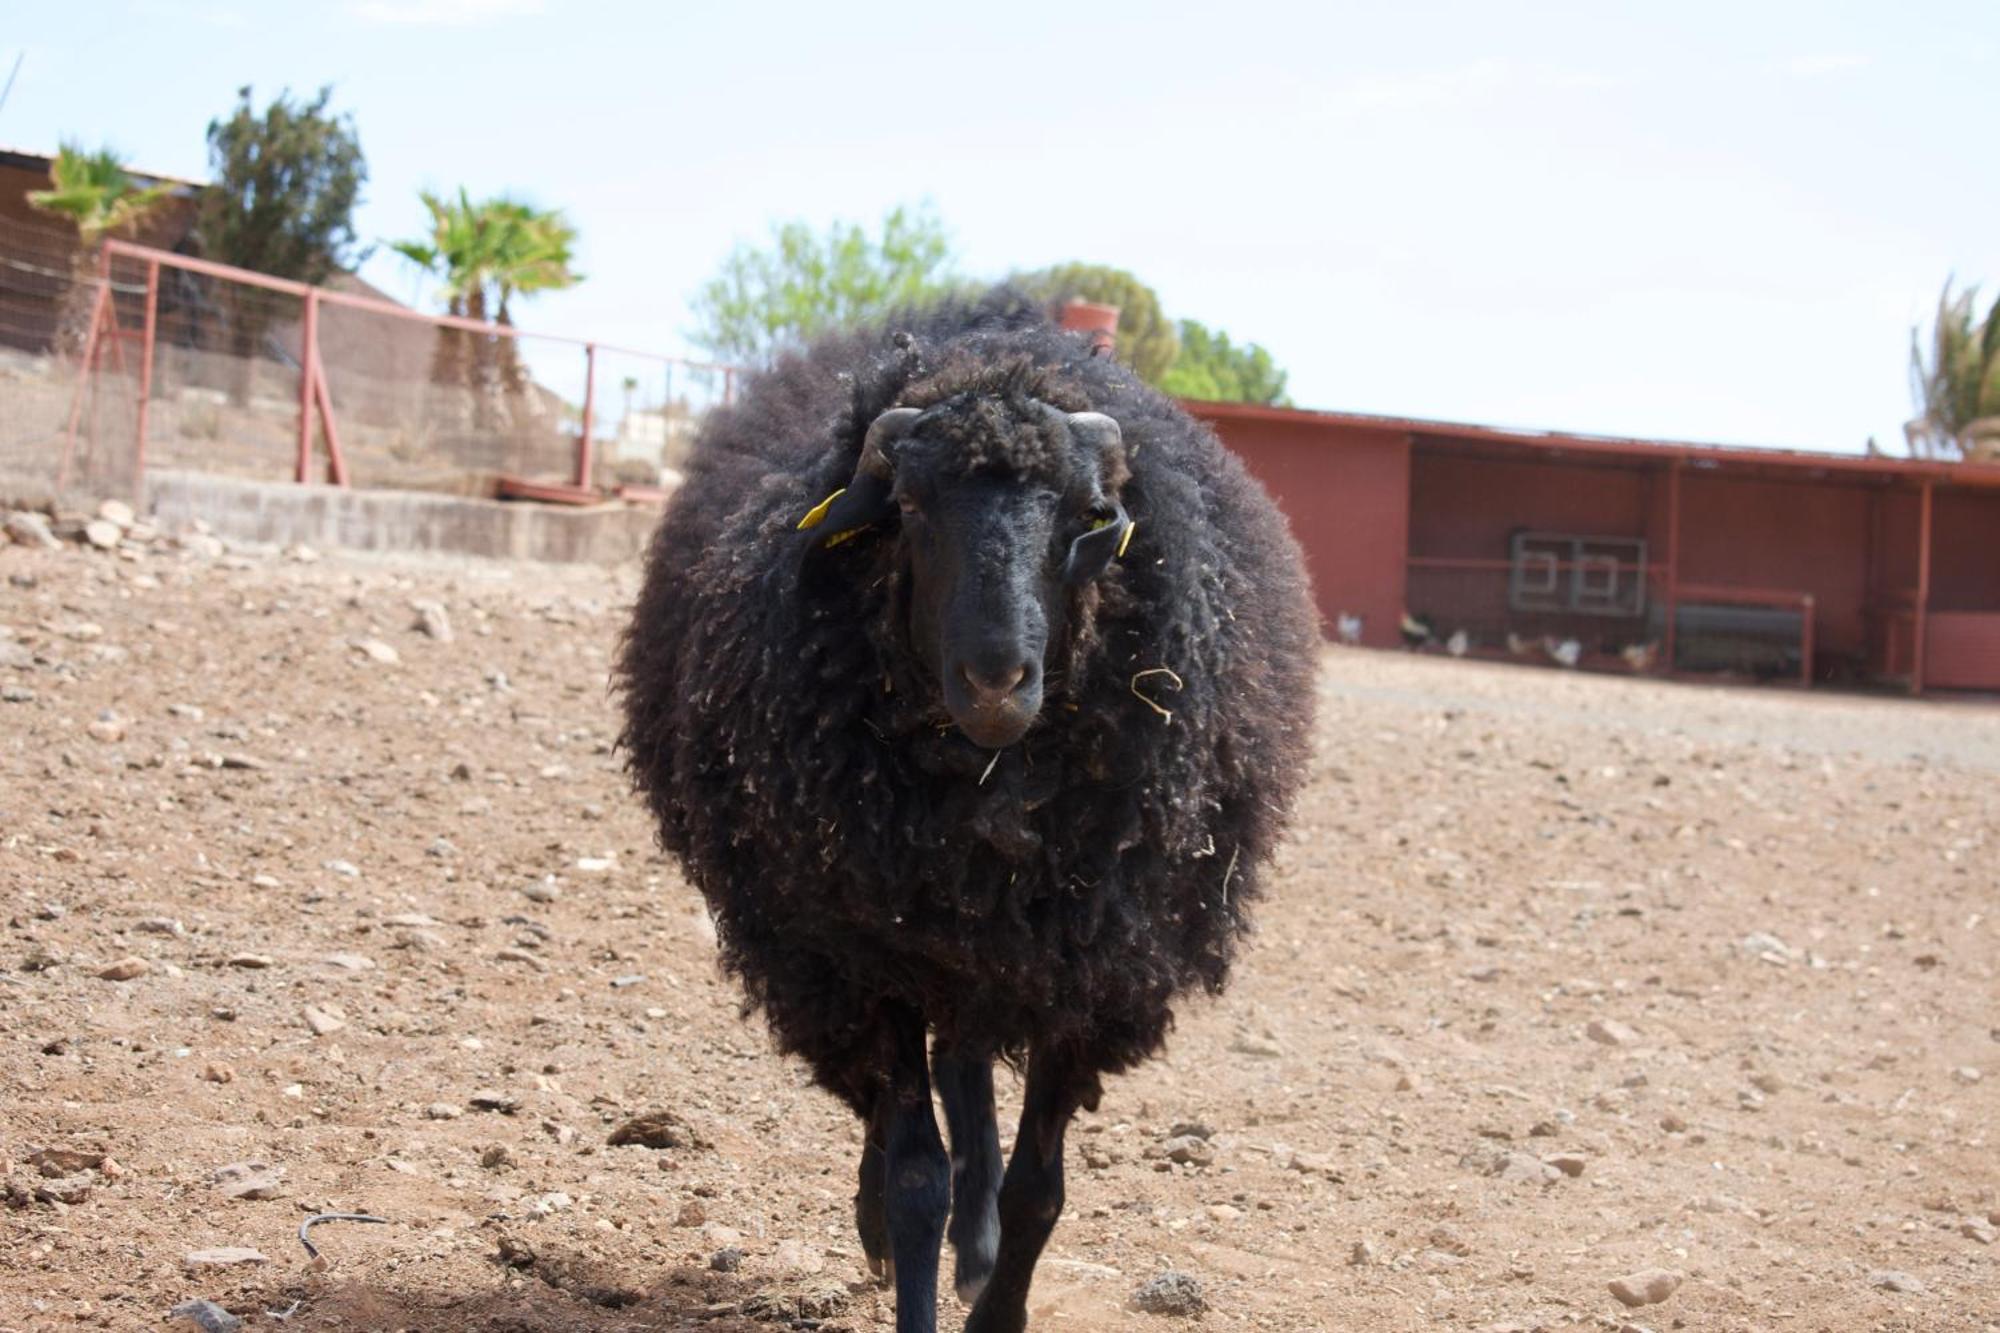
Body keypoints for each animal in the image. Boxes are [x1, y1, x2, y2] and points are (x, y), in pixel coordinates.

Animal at [616, 298, 1320, 1328]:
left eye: (1085, 514)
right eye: (909, 509)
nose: (996, 677)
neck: (993, 777)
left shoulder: (1090, 967)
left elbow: (1038, 1189)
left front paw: (996, 1289)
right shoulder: (875, 955)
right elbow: (918, 1174)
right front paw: (909, 1245)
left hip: (989, 950)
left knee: (969, 1070)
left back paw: (978, 1244)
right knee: (914, 1099)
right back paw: (890, 1225)